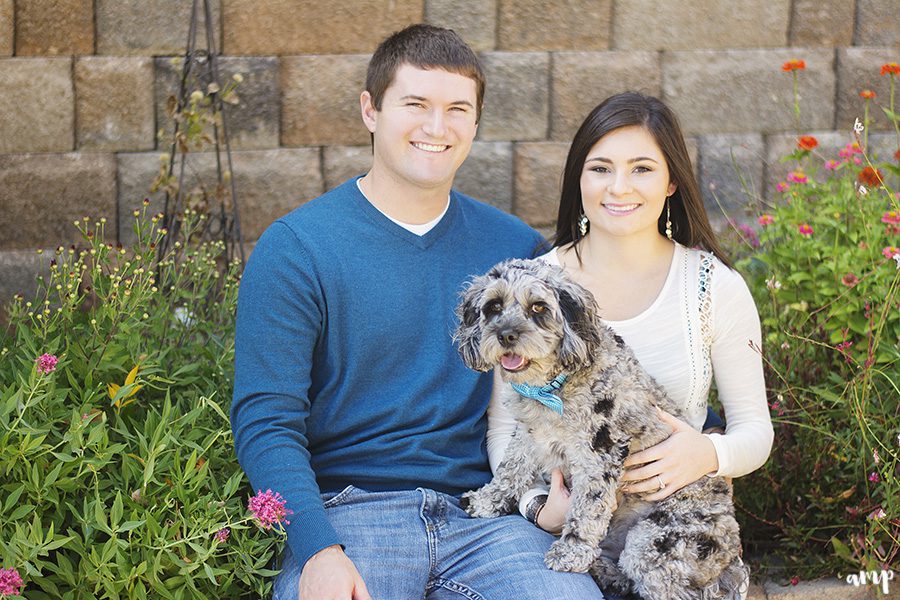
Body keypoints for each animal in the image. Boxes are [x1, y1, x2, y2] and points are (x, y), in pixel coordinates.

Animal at [458, 258, 744, 600]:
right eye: (494, 306)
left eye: (538, 307)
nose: (505, 335)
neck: (553, 386)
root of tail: (729, 555)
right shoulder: (529, 436)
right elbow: (509, 471)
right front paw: (485, 501)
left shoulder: (600, 453)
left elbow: (587, 508)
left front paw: (572, 551)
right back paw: (604, 571)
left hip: (655, 543)